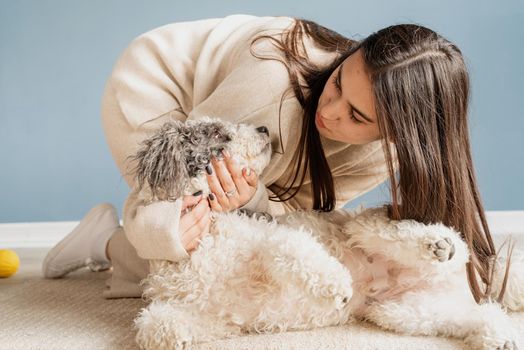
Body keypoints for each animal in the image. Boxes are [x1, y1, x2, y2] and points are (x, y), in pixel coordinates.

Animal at [128, 117, 524, 350]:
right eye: (216, 133)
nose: (264, 129)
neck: (203, 243)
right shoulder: (213, 315)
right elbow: (153, 325)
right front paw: (175, 338)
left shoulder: (266, 236)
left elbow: (294, 250)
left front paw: (335, 284)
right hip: (409, 313)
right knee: (482, 314)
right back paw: (501, 336)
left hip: (364, 228)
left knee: (418, 236)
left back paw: (440, 246)